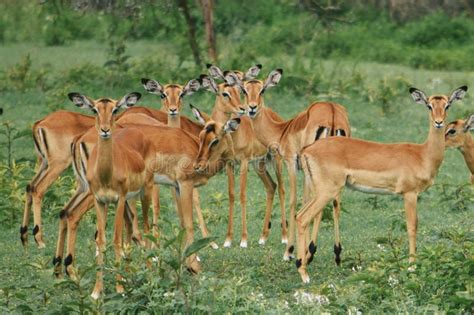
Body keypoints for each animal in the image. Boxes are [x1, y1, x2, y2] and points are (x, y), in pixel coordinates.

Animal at [296, 86, 466, 284]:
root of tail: (307, 150)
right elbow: (412, 227)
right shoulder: (410, 194)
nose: (439, 123)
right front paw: (412, 266)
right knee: (303, 218)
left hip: (319, 192)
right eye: (429, 105)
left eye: (447, 105)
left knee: (298, 215)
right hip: (327, 192)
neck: (423, 154)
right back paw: (304, 274)